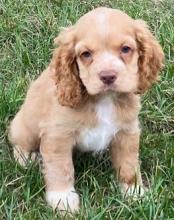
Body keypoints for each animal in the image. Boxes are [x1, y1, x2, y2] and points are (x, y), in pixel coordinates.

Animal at [9, 7, 164, 213]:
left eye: (125, 49)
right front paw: (63, 199)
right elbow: (61, 169)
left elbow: (128, 164)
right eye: (86, 54)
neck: (104, 100)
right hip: (27, 129)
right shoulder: (58, 136)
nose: (108, 76)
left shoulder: (127, 132)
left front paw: (133, 192)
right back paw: (28, 160)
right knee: (18, 145)